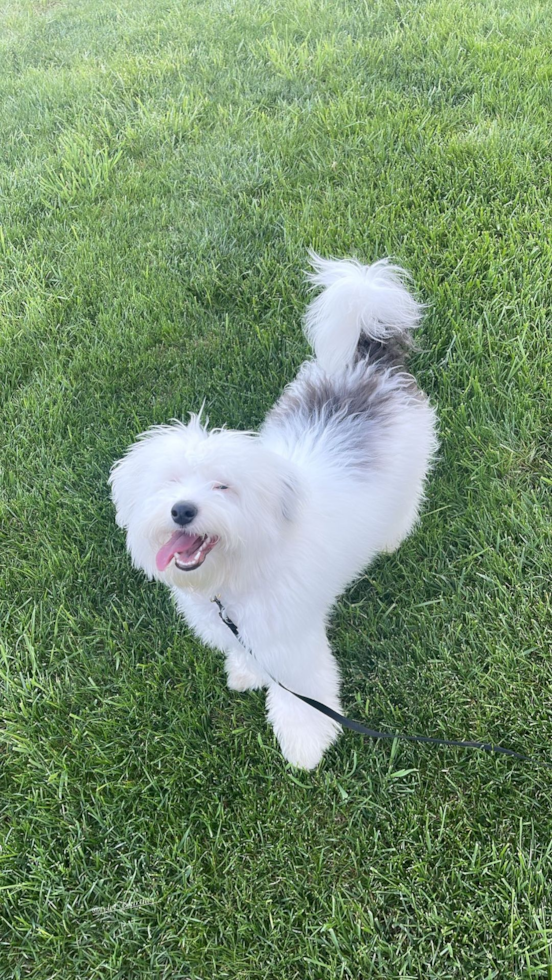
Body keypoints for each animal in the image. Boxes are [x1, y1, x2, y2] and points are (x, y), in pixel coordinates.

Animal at [110, 255, 438, 772]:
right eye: (169, 482)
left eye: (223, 486)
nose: (182, 510)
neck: (235, 575)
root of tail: (369, 359)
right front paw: (246, 673)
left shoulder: (290, 637)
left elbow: (301, 690)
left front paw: (305, 743)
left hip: (413, 456)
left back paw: (391, 537)